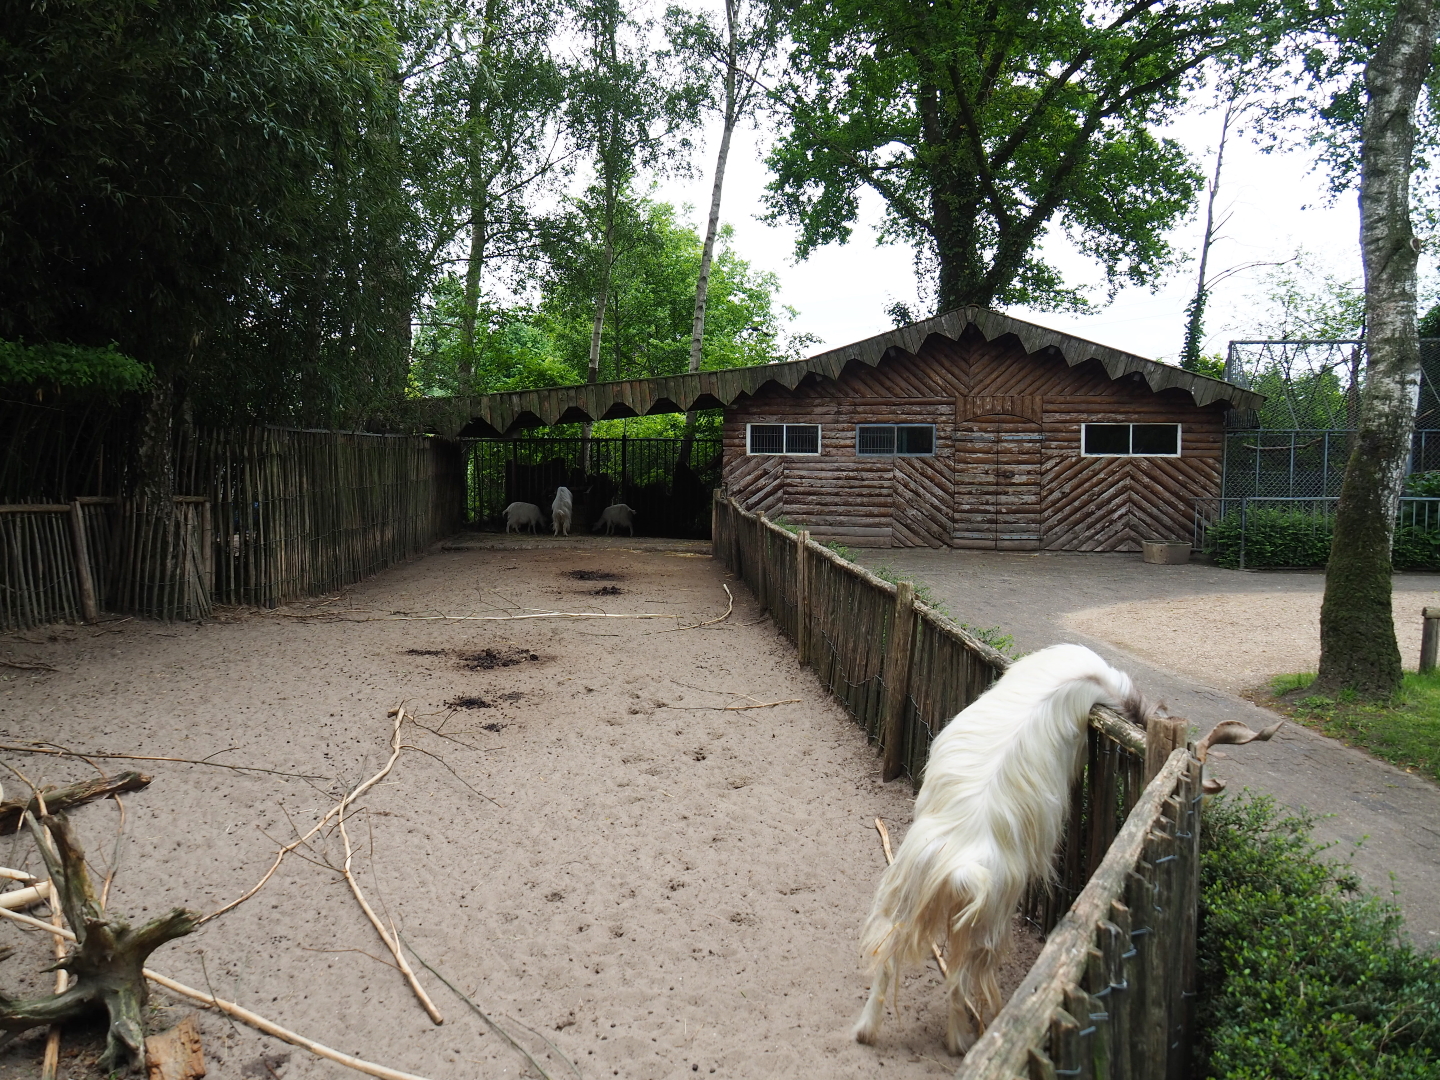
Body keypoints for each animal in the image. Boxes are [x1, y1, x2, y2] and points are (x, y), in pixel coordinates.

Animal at [853, 643, 1152, 1055]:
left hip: (906, 895)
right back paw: (960, 1041)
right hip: (988, 919)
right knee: (961, 978)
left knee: (887, 955)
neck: (1079, 678)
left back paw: (866, 1031)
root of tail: (960, 864)